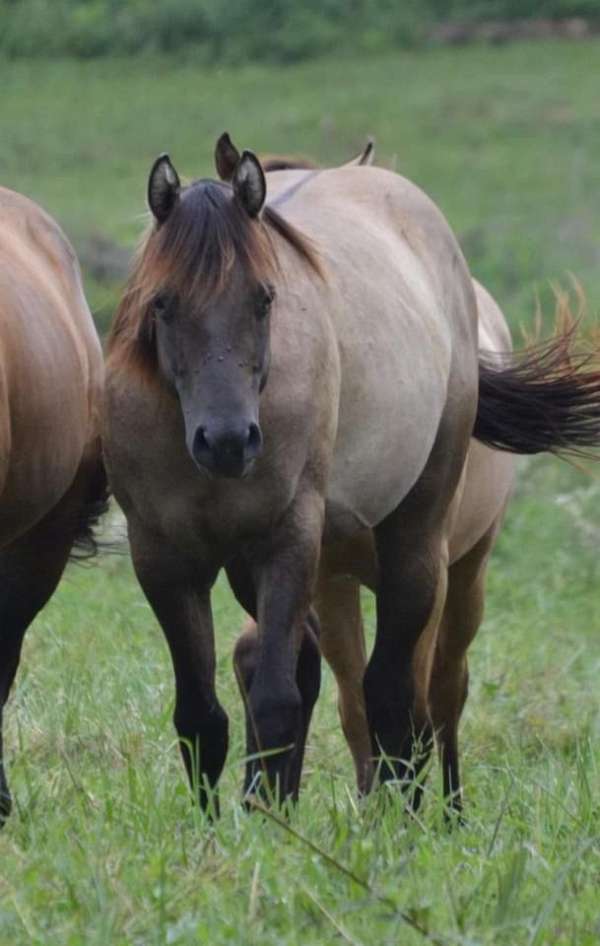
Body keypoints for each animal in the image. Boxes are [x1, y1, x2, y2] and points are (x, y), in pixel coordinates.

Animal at [105, 133, 600, 812]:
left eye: (265, 298)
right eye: (162, 302)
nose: (228, 441)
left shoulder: (289, 541)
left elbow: (282, 697)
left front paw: (268, 819)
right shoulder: (164, 558)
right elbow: (203, 714)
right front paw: (228, 819)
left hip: (430, 553)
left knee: (414, 690)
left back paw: (421, 811)